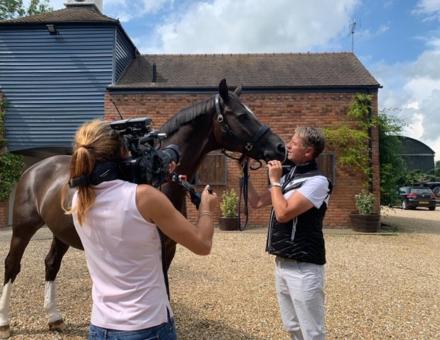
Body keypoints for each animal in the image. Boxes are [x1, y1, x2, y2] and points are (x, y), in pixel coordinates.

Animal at [0, 79, 286, 338]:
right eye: (242, 115)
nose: (280, 147)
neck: (158, 175)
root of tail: (35, 168)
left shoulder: (168, 247)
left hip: (61, 233)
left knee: (51, 264)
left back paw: (54, 317)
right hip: (23, 229)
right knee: (12, 264)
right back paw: (5, 322)